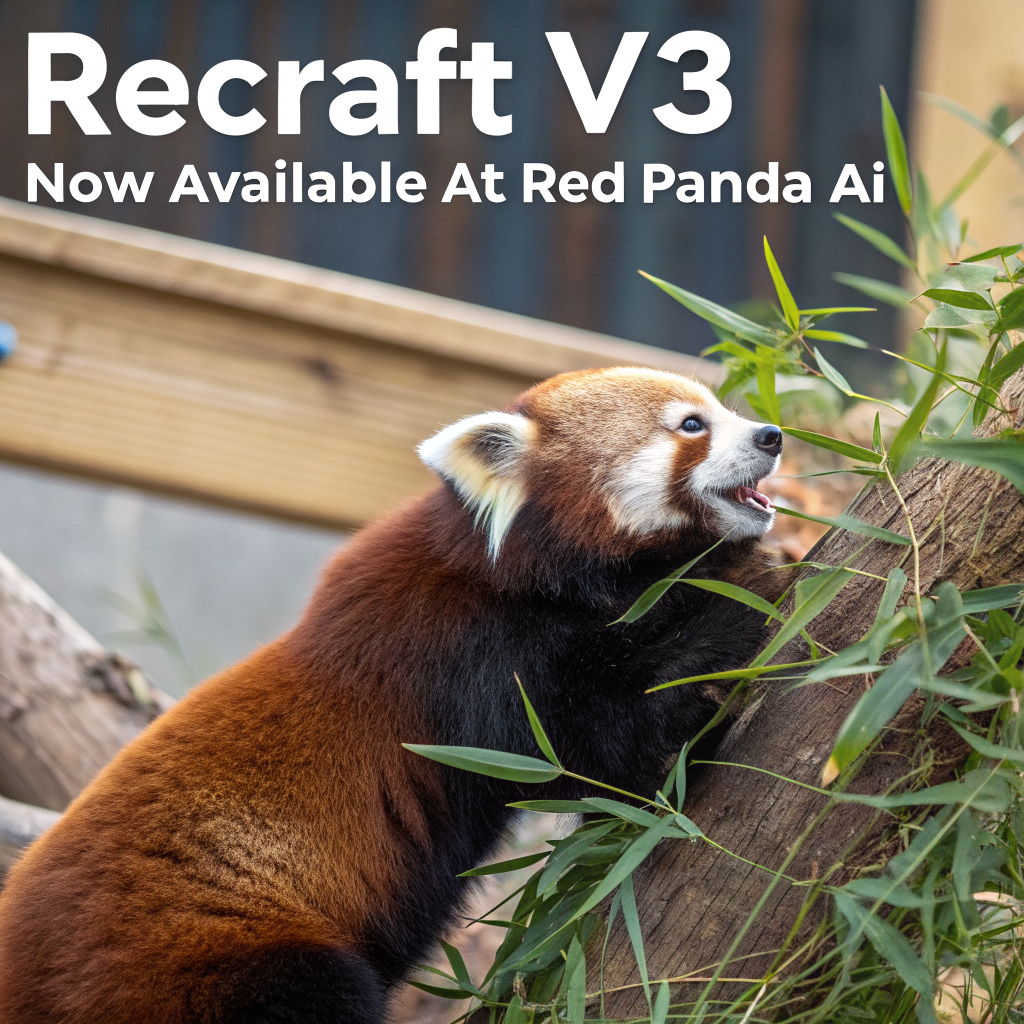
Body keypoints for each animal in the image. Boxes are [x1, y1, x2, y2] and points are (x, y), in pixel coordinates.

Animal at [0, 367, 783, 1023]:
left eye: (725, 409)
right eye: (691, 426)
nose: (772, 435)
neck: (515, 571)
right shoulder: (476, 663)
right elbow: (604, 754)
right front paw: (749, 597)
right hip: (208, 959)